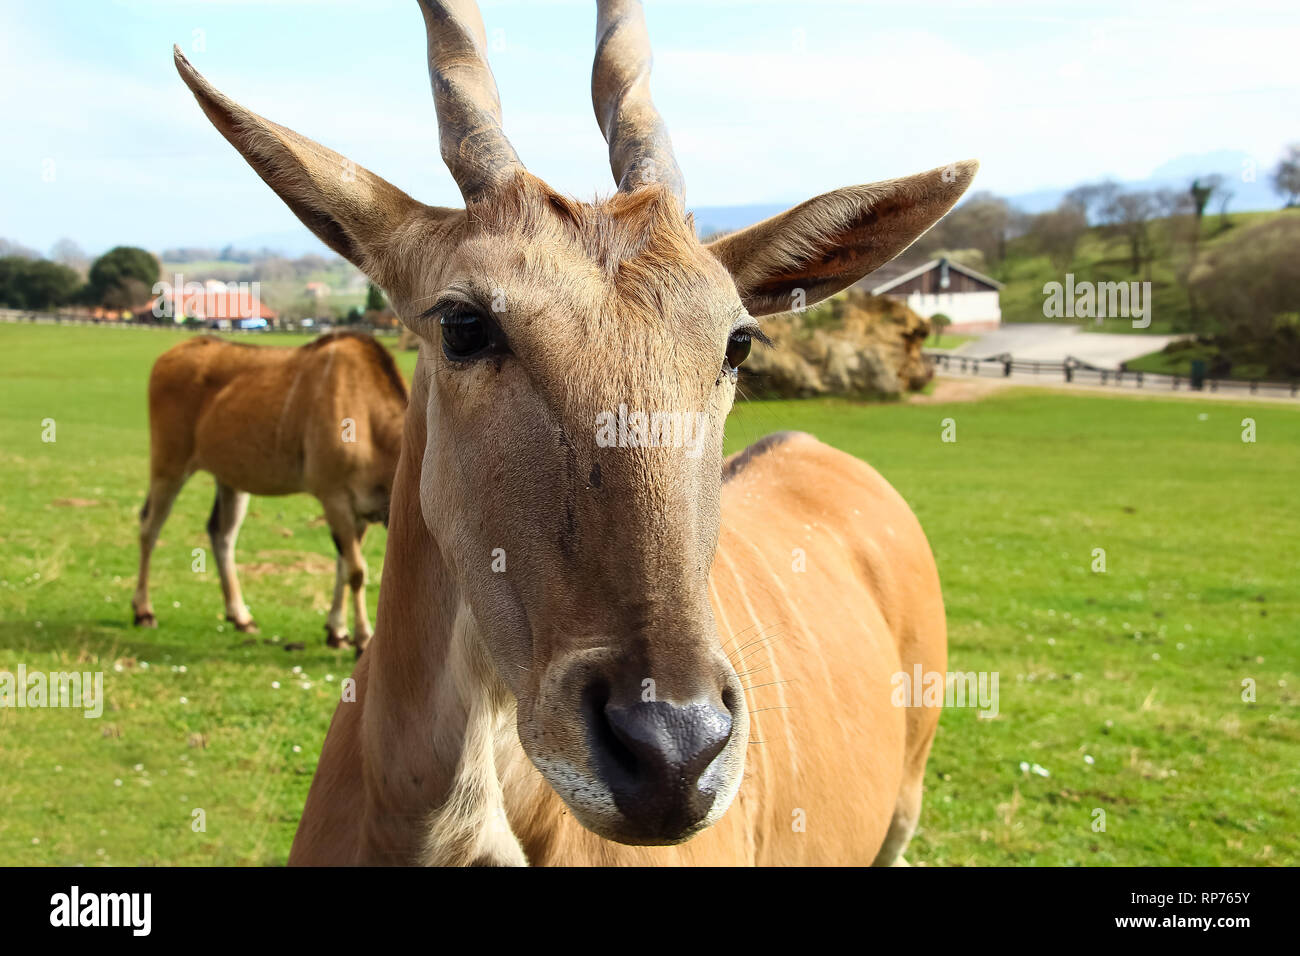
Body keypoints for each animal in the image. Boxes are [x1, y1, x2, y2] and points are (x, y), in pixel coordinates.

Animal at [131, 332, 407, 651]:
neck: (369, 417)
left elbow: (343, 566)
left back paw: (241, 617)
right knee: (150, 527)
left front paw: (336, 631)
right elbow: (356, 571)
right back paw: (143, 611)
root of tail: (171, 354)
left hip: (230, 480)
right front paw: (362, 638)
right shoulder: (334, 498)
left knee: (221, 534)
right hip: (169, 466)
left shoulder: (359, 513)